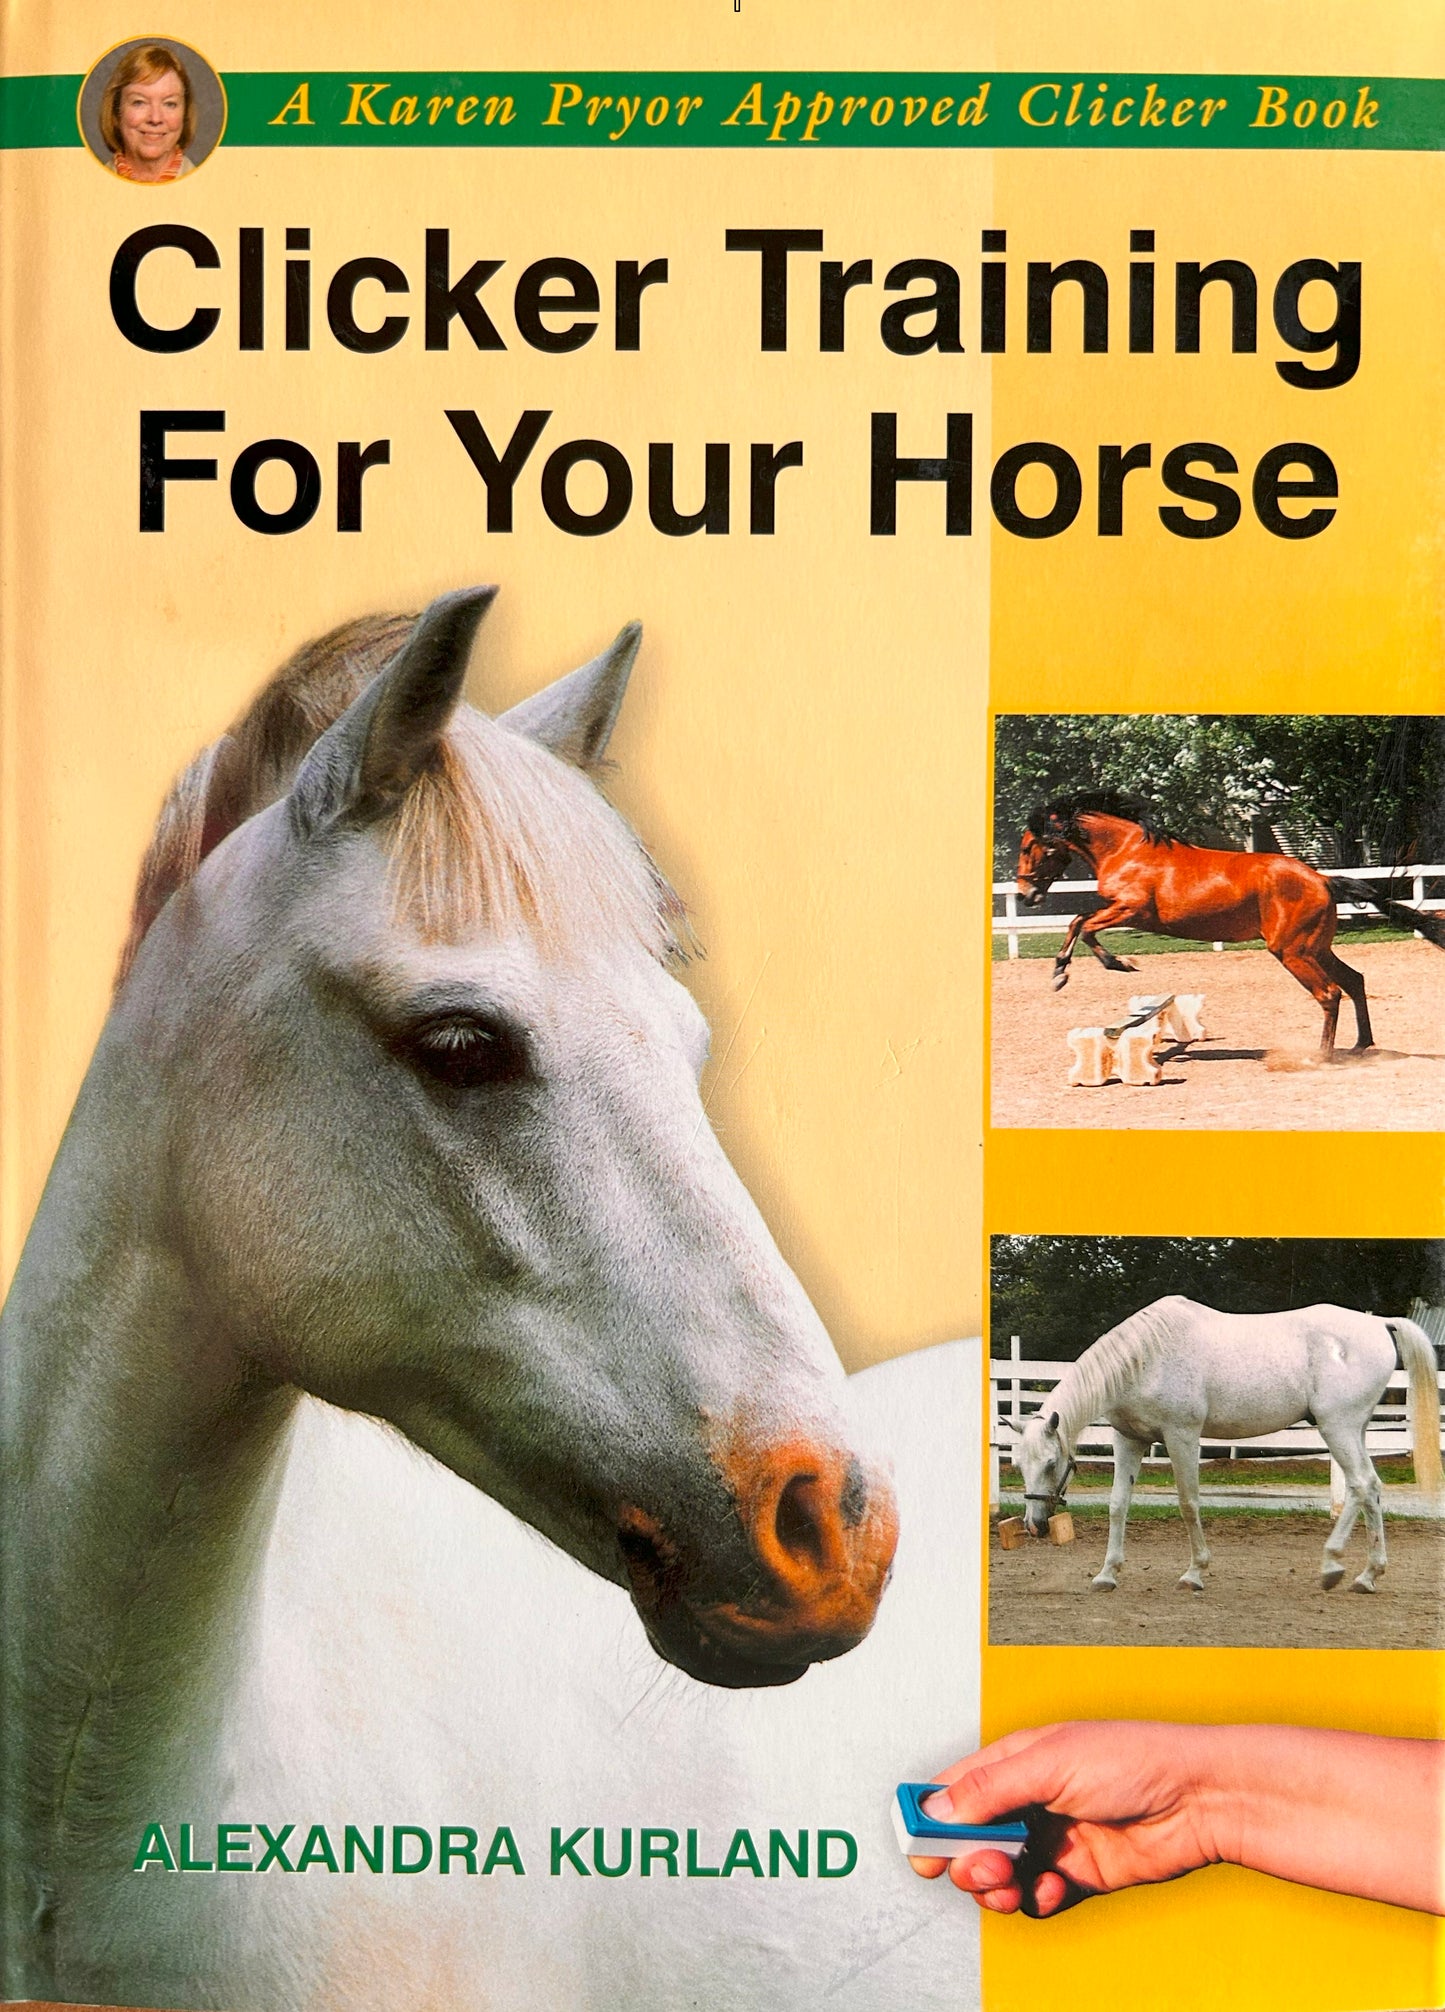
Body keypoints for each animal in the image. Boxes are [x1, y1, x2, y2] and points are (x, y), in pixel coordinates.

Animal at [1007, 1296, 1442, 1595]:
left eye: (1051, 1463)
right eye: (1019, 1466)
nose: (1035, 1526)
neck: (1145, 1358)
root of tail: (1380, 1324)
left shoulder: (1181, 1436)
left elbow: (1188, 1504)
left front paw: (1194, 1573)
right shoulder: (1129, 1439)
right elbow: (1118, 1506)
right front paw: (1106, 1574)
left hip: (1338, 1428)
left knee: (1363, 1485)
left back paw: (1346, 1571)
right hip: (1352, 1430)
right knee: (1364, 1489)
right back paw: (1357, 1572)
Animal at [1015, 792, 1445, 1057]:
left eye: (1029, 846)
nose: (1025, 895)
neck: (1126, 851)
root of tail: (1322, 879)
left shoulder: (1131, 910)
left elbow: (1083, 925)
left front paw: (1113, 965)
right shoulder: (1119, 910)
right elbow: (1078, 922)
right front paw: (1061, 972)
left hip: (1292, 952)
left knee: (1329, 993)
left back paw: (1322, 1056)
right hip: (1316, 948)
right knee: (1354, 981)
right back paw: (1360, 1045)